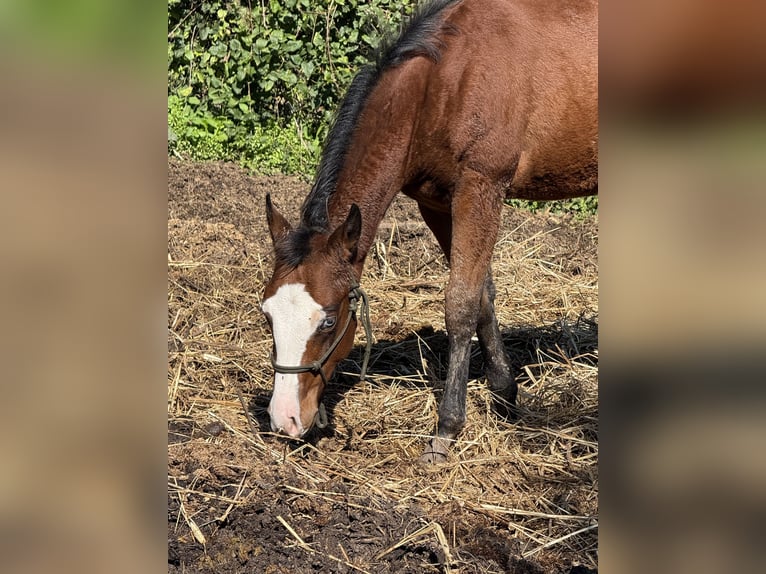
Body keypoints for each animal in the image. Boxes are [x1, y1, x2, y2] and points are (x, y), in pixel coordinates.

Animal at [260, 0, 596, 464]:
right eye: (267, 315)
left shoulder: (481, 186)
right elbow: (482, 296)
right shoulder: (437, 202)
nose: (285, 419)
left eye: (328, 321)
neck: (443, 84)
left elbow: (460, 304)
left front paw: (447, 429)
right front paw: (505, 395)